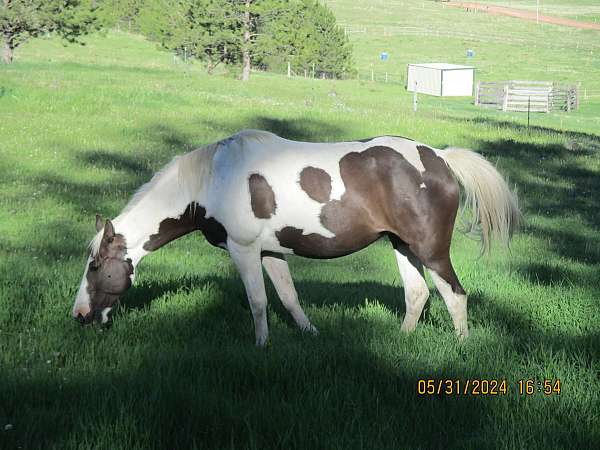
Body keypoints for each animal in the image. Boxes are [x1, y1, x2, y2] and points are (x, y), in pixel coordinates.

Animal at [71, 130, 520, 344]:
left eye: (95, 266)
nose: (79, 315)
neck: (214, 180)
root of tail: (440, 158)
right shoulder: (272, 252)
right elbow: (288, 297)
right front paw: (310, 335)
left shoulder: (244, 250)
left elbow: (258, 302)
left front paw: (260, 346)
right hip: (402, 245)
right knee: (418, 294)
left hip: (430, 249)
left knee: (454, 294)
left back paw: (461, 347)